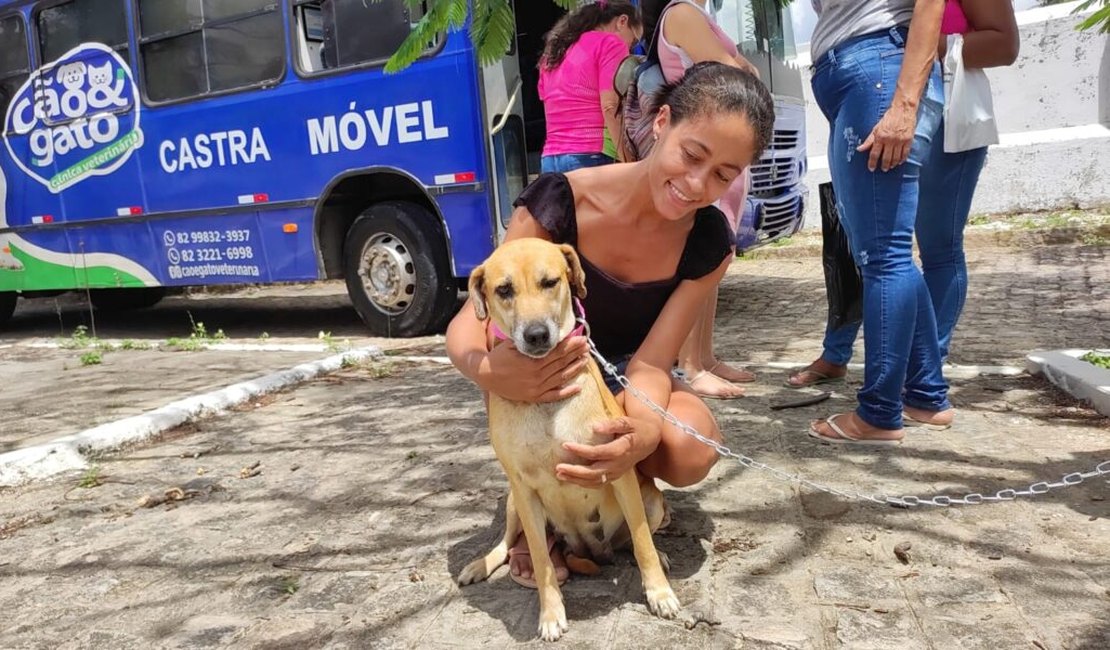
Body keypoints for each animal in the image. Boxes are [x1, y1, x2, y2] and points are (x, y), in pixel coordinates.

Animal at [457, 236, 679, 638]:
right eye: (504, 290)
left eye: (550, 282)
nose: (536, 335)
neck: (548, 402)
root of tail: (590, 552)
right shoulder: (524, 489)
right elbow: (542, 561)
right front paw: (550, 614)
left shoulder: (619, 470)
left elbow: (641, 542)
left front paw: (659, 592)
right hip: (513, 503)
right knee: (508, 543)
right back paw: (480, 565)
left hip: (653, 501)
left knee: (633, 540)